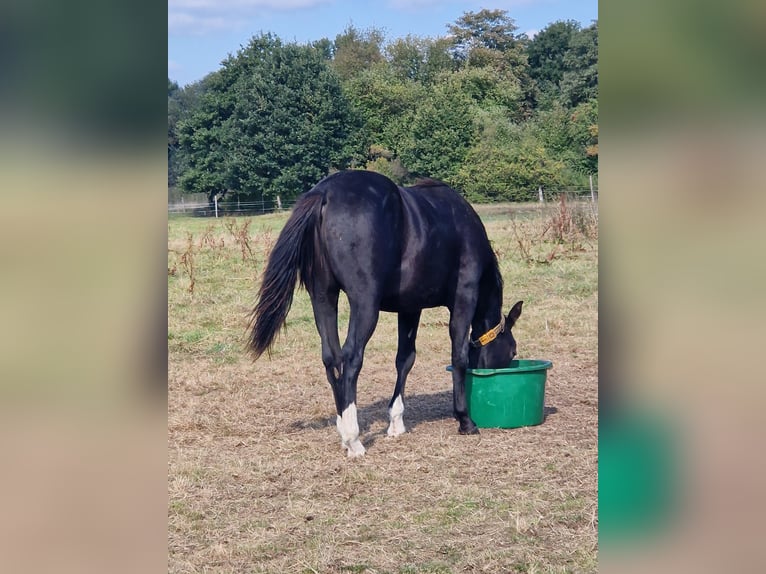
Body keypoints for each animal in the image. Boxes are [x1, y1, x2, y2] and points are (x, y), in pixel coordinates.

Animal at [248, 170, 523, 457]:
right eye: (513, 350)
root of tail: (324, 193)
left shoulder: (410, 308)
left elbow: (405, 359)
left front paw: (396, 422)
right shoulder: (464, 298)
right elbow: (458, 356)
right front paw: (465, 420)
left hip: (323, 298)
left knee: (332, 358)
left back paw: (343, 427)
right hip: (365, 305)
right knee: (351, 357)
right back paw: (353, 439)